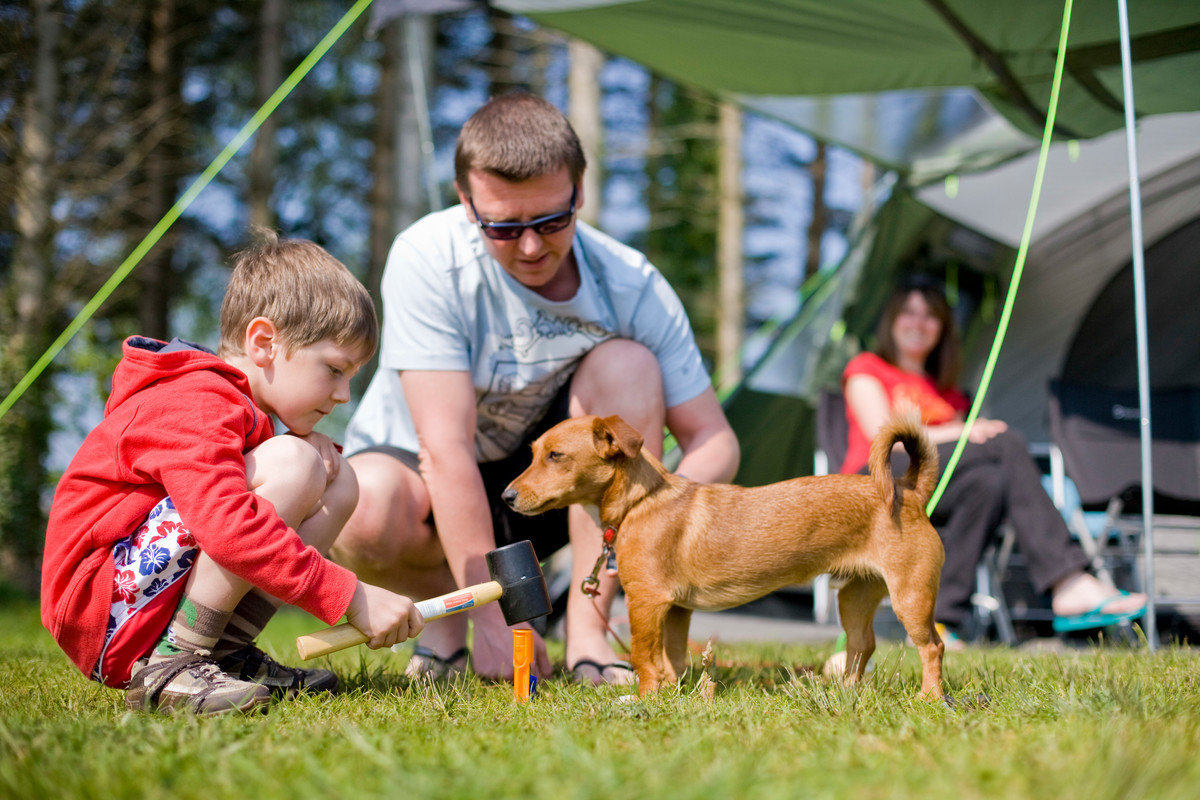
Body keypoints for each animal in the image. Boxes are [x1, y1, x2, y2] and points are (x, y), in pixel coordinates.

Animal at [499, 412, 945, 700]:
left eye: (556, 456)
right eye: (534, 453)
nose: (506, 496)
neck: (642, 501)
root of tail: (909, 490)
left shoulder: (646, 602)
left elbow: (643, 657)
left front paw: (644, 699)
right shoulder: (676, 610)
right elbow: (672, 658)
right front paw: (672, 694)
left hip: (910, 598)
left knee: (932, 648)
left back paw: (929, 697)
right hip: (854, 597)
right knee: (862, 646)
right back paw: (845, 693)